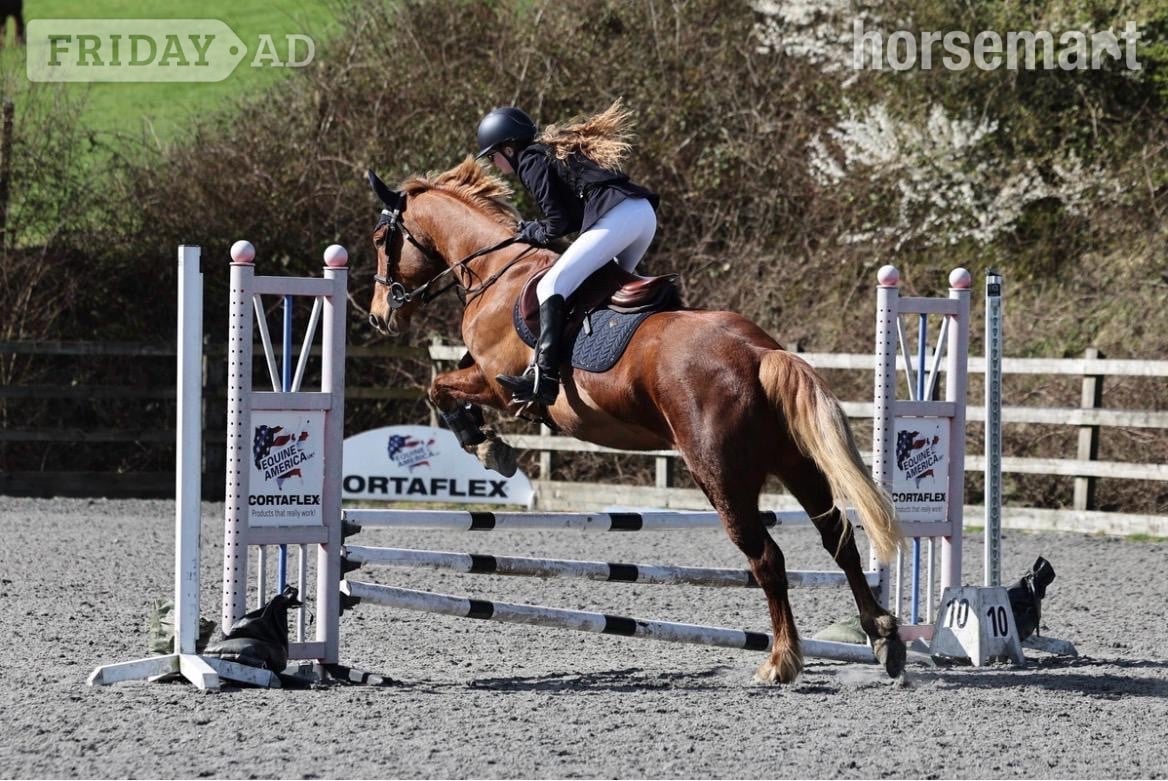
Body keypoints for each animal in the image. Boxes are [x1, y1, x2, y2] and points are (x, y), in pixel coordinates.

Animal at [365, 156, 906, 683]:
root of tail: (759, 353)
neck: (495, 271)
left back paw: (781, 660)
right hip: (795, 463)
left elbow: (440, 389)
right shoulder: (480, 371)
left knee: (767, 557)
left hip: (720, 475)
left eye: (379, 239)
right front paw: (487, 443)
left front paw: (486, 447)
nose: (378, 316)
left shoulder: (499, 383)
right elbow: (447, 385)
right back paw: (883, 637)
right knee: (838, 539)